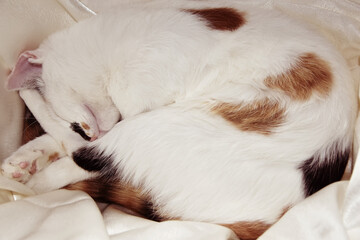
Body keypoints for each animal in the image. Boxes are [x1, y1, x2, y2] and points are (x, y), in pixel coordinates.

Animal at [0, 0, 358, 239]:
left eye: (79, 120)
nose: (94, 131)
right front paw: (28, 155)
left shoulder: (136, 103)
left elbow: (72, 142)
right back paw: (23, 165)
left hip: (154, 127)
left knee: (83, 160)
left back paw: (31, 182)